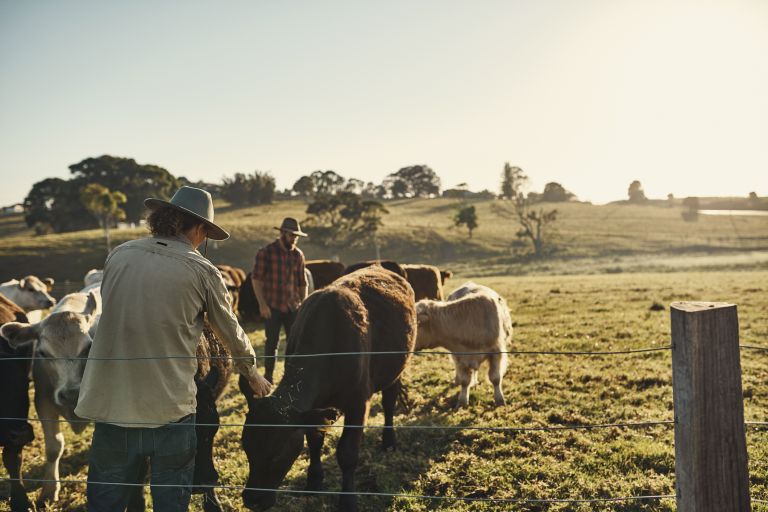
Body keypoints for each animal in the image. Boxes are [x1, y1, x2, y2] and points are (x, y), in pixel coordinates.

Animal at [242, 266, 416, 510]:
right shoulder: (314, 409)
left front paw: (347, 500)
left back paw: (389, 441)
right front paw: (314, 481)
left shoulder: (358, 403)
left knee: (389, 402)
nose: (252, 500)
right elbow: (314, 440)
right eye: (246, 447)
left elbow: (347, 453)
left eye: (277, 453)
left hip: (395, 370)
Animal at [412, 280, 512, 408]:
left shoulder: (496, 353)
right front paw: (462, 400)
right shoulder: (459, 357)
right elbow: (465, 381)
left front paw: (499, 399)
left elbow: (495, 378)